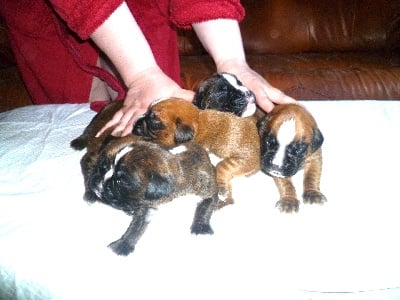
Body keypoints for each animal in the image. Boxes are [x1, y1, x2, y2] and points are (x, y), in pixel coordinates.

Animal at [69, 101, 219, 255]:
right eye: (105, 169)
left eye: (120, 181)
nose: (102, 181)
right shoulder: (147, 207)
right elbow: (136, 227)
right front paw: (123, 244)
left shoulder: (209, 189)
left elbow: (205, 208)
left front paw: (201, 227)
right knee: (86, 157)